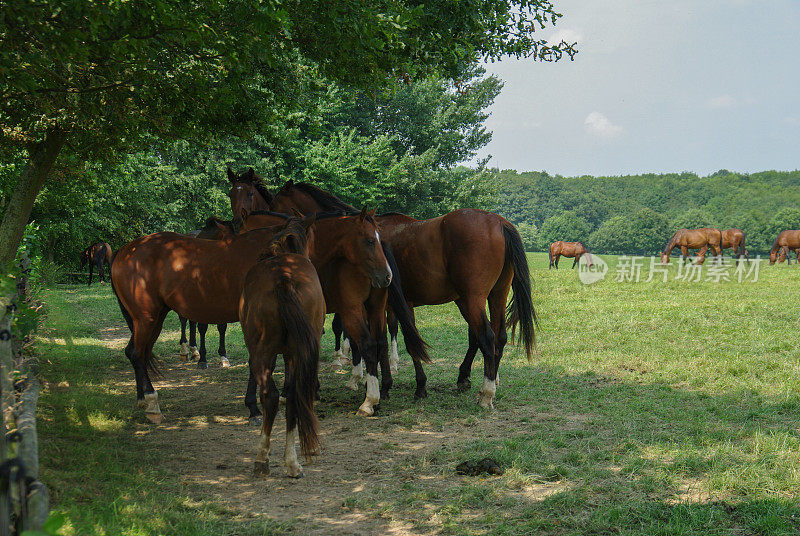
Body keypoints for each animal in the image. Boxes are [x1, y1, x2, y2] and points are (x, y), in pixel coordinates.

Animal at [111, 209, 398, 422]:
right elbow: (257, 362)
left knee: (136, 353)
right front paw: (255, 406)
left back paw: (142, 399)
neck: (274, 255)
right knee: (137, 354)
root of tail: (124, 252)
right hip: (147, 318)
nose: (386, 276)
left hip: (152, 318)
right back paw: (151, 404)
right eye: (369, 240)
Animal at [239, 216, 324, 480]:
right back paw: (293, 463)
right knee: (295, 396)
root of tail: (283, 278)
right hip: (298, 352)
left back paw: (261, 458)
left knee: (271, 396)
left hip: (262, 353)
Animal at [266, 178, 536, 408]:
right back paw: (480, 379)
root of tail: (499, 222)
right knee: (496, 337)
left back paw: (486, 392)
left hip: (472, 299)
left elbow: (386, 341)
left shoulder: (380, 304)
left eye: (275, 203)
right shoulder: (392, 304)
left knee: (486, 337)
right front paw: (383, 385)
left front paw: (388, 384)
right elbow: (386, 341)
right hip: (492, 295)